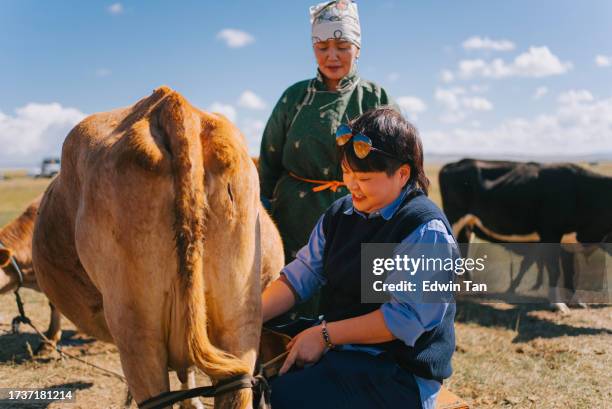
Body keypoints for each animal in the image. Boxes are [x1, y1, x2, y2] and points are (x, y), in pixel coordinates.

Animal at [440, 159, 612, 312]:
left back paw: (471, 288)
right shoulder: (550, 234)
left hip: (468, 227)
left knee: (464, 253)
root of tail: (455, 163)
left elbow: (570, 271)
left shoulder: (567, 241)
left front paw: (576, 301)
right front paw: (558, 305)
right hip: (453, 220)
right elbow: (554, 269)